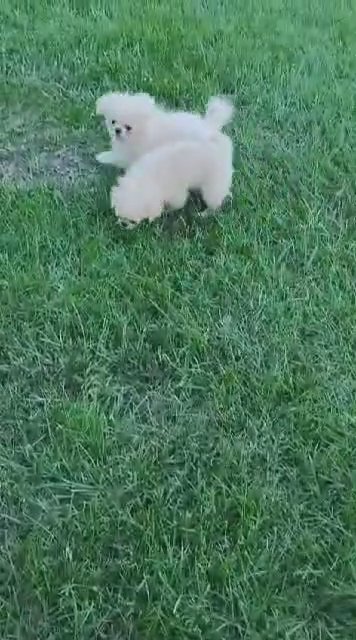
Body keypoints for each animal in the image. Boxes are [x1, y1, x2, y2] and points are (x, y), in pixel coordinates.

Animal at [96, 92, 234, 170]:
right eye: (113, 122)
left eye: (129, 127)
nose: (117, 130)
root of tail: (207, 126)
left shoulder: (130, 154)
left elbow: (116, 158)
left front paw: (102, 157)